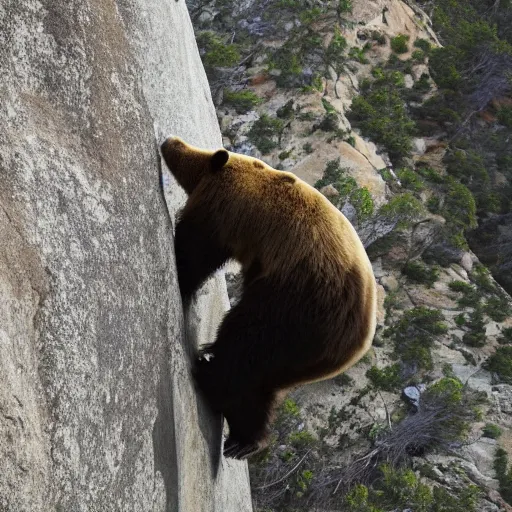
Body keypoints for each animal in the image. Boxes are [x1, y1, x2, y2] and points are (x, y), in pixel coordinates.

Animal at [162, 136, 378, 460]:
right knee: (260, 383)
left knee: (245, 342)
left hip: (299, 308)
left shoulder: (224, 212)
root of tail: (357, 345)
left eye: (183, 151)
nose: (169, 141)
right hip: (297, 357)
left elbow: (196, 250)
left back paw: (208, 374)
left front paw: (182, 273)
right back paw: (245, 441)